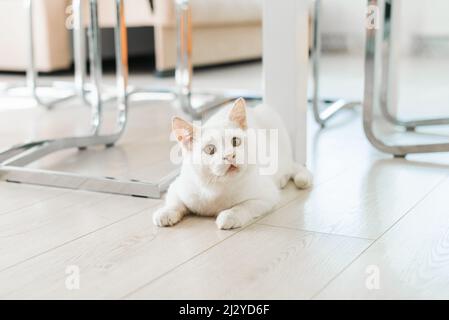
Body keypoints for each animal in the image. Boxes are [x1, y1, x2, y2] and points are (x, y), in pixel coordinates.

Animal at [152, 98, 310, 230]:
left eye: (235, 141)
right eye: (210, 149)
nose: (229, 156)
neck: (217, 188)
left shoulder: (267, 196)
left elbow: (244, 206)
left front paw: (230, 215)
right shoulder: (177, 186)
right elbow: (174, 202)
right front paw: (165, 212)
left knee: (291, 166)